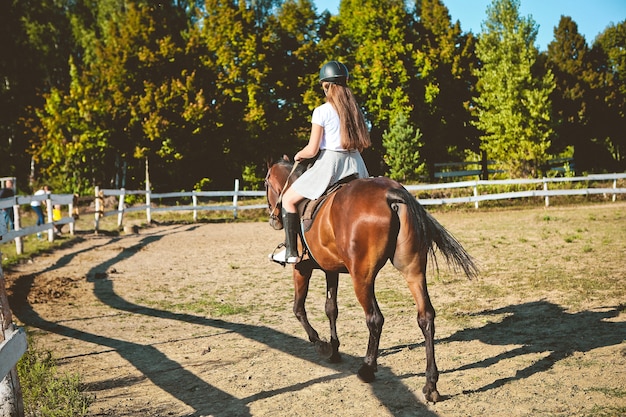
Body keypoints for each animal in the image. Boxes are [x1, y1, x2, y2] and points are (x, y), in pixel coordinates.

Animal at [264, 160, 478, 404]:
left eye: (266, 184)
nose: (273, 220)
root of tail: (390, 193)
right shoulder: (331, 270)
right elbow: (331, 309)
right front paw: (334, 350)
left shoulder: (301, 268)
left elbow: (298, 308)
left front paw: (321, 345)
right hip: (413, 270)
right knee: (426, 316)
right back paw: (430, 384)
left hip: (362, 278)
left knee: (374, 319)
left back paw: (367, 368)